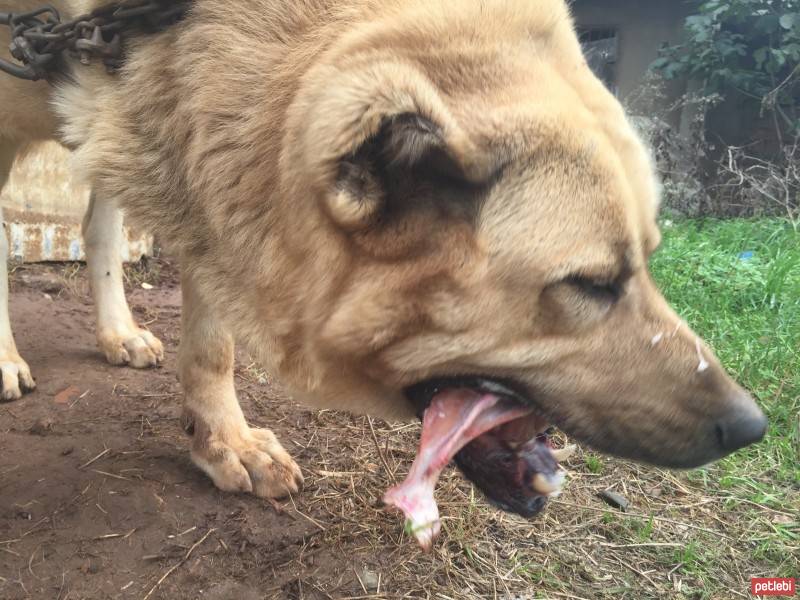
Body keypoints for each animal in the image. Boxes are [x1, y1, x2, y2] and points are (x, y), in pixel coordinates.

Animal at [0, 0, 764, 520]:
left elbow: (212, 347)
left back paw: (117, 332)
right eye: (590, 284)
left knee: (99, 228)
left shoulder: (197, 169)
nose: (753, 428)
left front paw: (224, 442)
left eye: (648, 261)